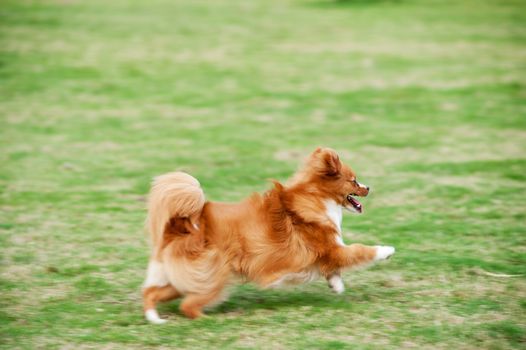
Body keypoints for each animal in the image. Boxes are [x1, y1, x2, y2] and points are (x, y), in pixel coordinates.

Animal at [142, 147, 394, 322]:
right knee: (188, 306)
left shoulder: (327, 255)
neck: (316, 199)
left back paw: (155, 319)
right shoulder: (333, 249)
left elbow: (333, 271)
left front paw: (336, 286)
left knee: (151, 293)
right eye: (354, 180)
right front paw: (387, 250)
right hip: (212, 276)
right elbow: (360, 250)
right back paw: (209, 320)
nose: (368, 188)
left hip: (183, 279)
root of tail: (178, 227)